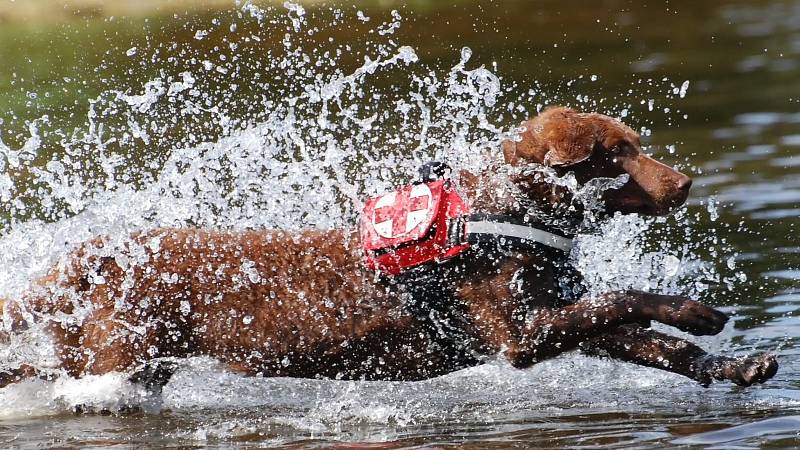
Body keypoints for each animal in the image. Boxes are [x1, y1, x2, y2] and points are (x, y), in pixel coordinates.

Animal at [0, 105, 776, 390]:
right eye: (619, 153)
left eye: (637, 143)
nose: (685, 183)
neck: (504, 213)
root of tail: (81, 260)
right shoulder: (517, 337)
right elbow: (625, 298)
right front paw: (701, 312)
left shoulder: (554, 316)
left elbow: (651, 341)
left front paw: (734, 364)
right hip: (109, 365)